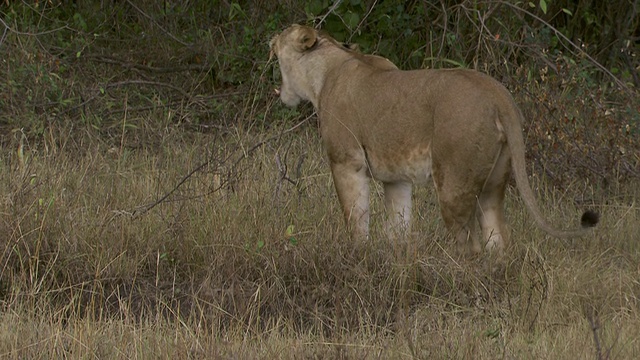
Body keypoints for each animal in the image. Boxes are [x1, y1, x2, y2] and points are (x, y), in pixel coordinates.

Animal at [268, 23, 596, 255]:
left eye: (284, 32)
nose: (270, 38)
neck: (325, 70)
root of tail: (497, 94)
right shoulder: (397, 178)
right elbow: (398, 226)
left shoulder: (346, 162)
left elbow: (356, 220)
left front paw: (356, 256)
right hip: (494, 183)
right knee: (498, 239)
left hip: (453, 183)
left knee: (469, 246)